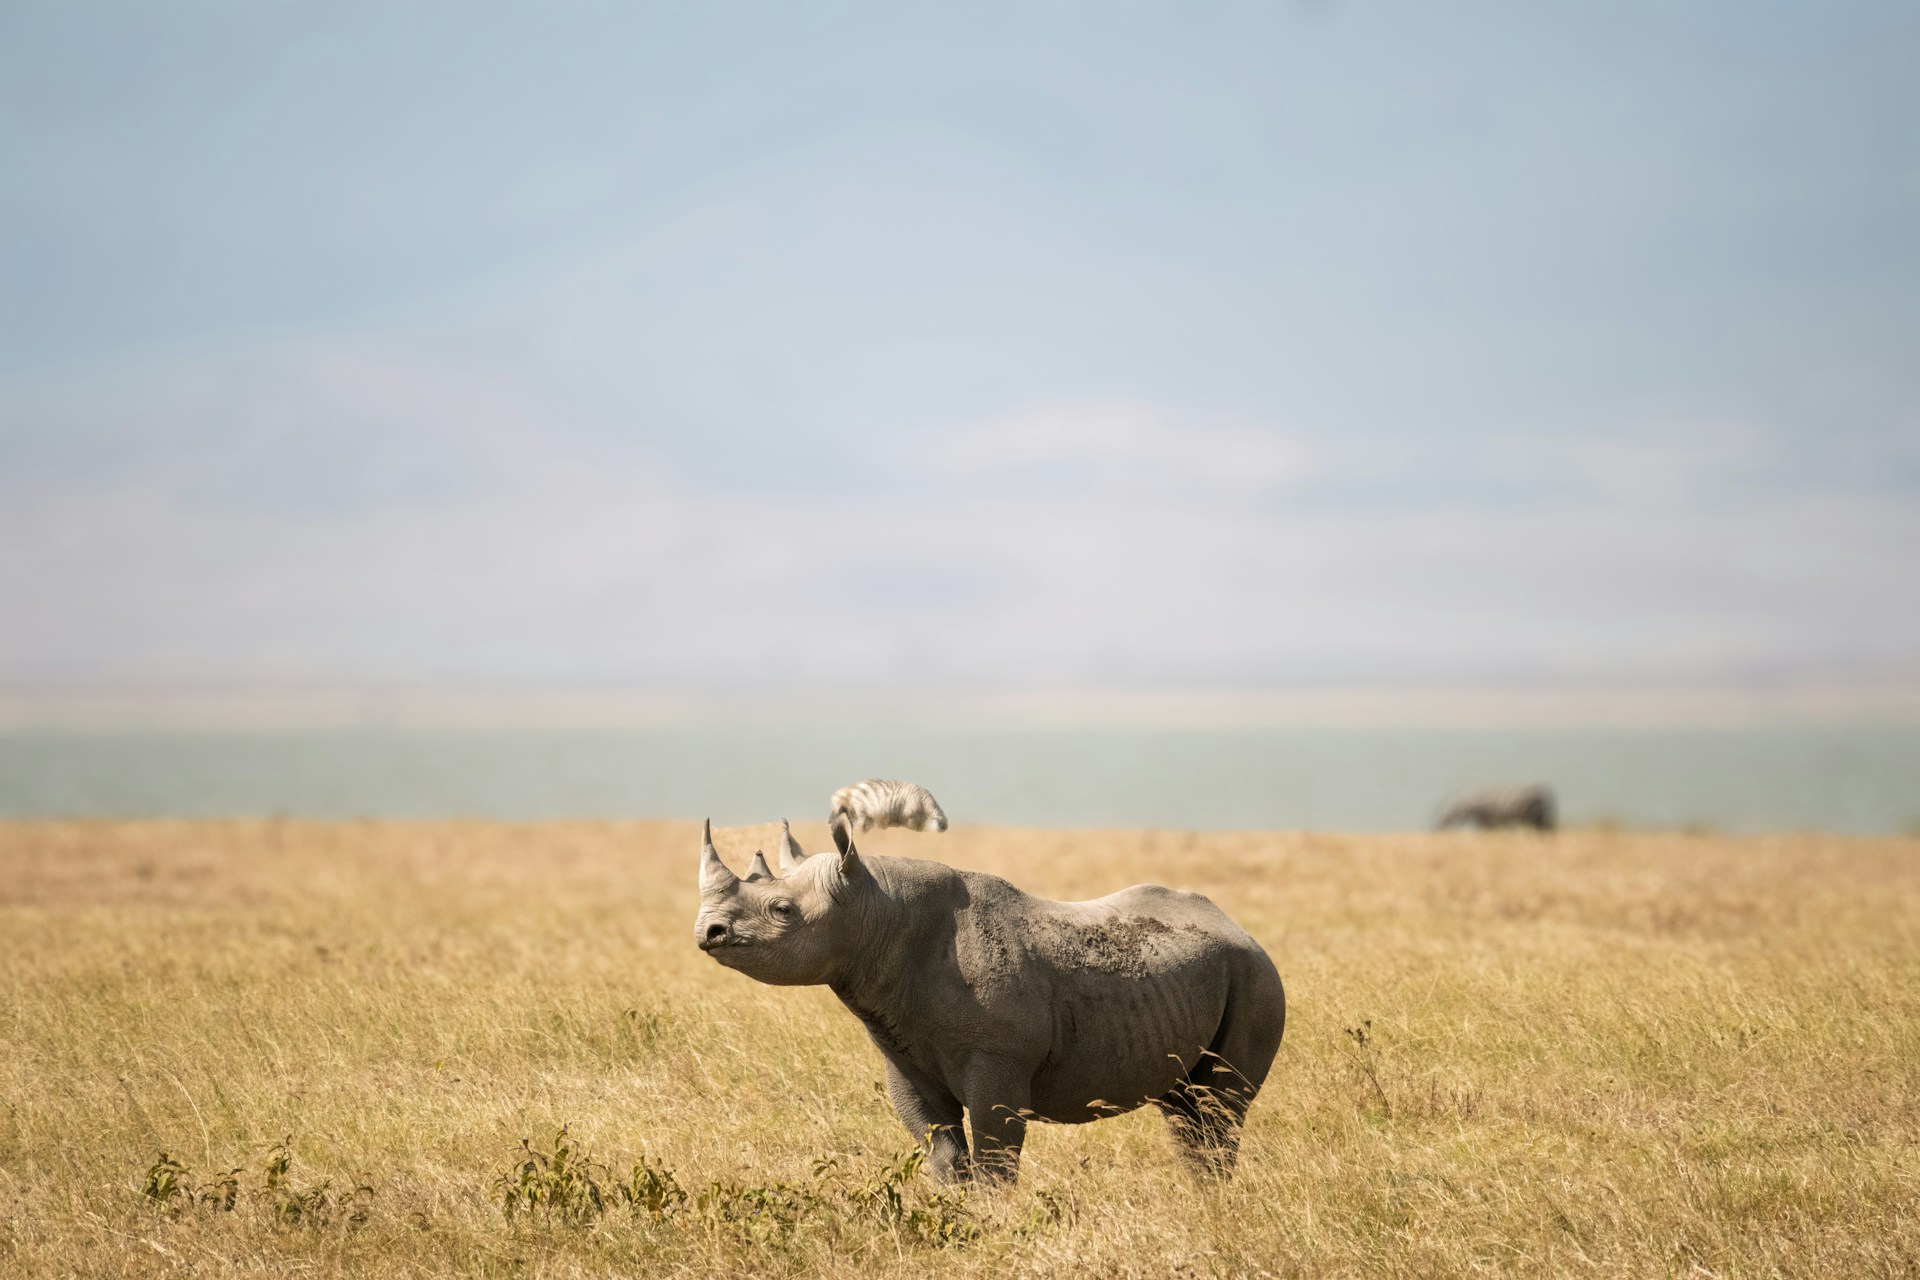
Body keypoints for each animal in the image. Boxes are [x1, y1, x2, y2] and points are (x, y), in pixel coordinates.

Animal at [693, 781, 1286, 1183]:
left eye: (782, 910)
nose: (707, 931)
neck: (875, 909)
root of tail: (1242, 928)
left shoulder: (999, 1059)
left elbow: (995, 1155)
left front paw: (994, 1224)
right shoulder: (903, 1055)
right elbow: (941, 1150)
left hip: (1256, 975)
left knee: (1221, 1109)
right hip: (1201, 978)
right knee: (1185, 1111)